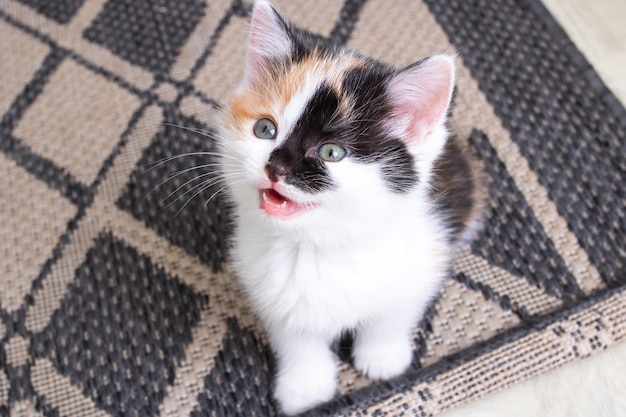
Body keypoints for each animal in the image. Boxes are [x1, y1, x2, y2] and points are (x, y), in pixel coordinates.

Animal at [217, 0, 486, 412]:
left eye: (332, 152)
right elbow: (297, 339)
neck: (317, 246)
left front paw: (382, 358)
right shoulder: (272, 292)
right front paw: (306, 389)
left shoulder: (422, 261)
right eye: (265, 129)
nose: (275, 169)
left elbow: (390, 316)